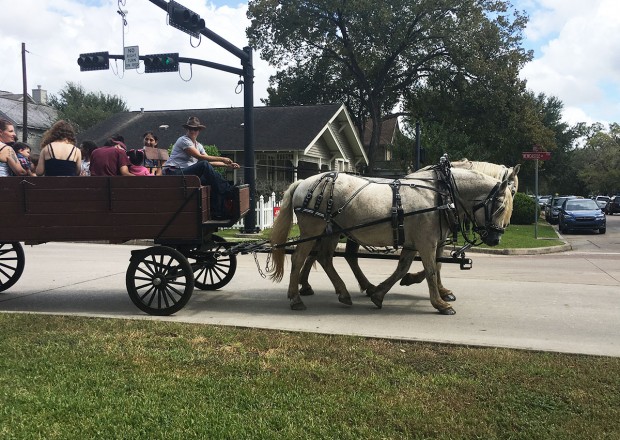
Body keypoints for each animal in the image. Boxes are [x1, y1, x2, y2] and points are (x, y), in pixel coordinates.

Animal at [268, 164, 512, 312]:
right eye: (500, 207)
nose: (496, 239)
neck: (441, 195)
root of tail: (303, 183)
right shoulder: (425, 242)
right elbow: (432, 270)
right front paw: (440, 303)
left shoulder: (416, 242)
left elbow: (406, 268)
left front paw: (380, 293)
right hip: (313, 230)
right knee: (300, 258)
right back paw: (296, 297)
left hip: (332, 231)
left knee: (325, 258)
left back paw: (343, 292)